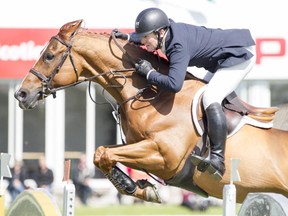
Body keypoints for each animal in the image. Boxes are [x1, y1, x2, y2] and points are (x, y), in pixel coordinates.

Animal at [14, 19, 288, 203]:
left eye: (49, 56)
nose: (21, 94)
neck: (152, 94)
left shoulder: (164, 157)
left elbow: (104, 154)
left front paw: (139, 189)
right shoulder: (136, 146)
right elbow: (101, 154)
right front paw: (139, 188)